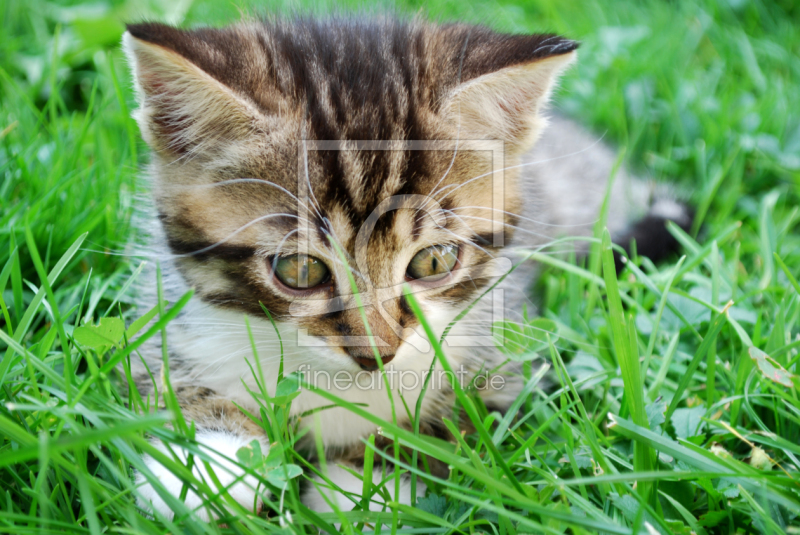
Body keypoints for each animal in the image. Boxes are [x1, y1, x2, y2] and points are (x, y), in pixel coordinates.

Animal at [122, 15, 692, 520]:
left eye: (433, 260)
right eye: (300, 271)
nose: (376, 354)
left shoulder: (505, 355)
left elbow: (456, 426)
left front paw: (366, 486)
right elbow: (169, 379)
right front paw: (210, 466)